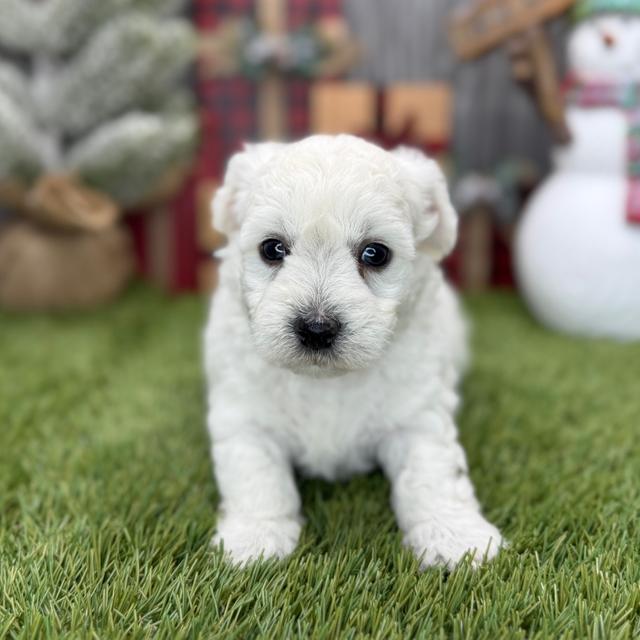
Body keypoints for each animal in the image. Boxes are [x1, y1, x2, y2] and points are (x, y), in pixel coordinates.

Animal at [204, 135, 500, 568]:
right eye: (272, 249)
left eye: (375, 253)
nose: (316, 328)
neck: (327, 382)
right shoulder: (244, 419)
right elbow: (257, 477)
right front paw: (255, 538)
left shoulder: (419, 417)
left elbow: (433, 475)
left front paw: (456, 537)